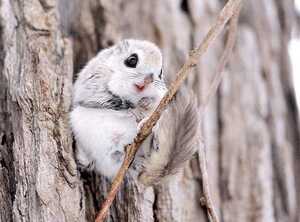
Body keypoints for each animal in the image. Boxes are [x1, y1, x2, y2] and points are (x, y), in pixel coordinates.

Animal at [70, 39, 200, 186]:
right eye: (132, 60)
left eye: (160, 73)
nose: (148, 80)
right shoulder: (93, 83)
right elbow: (109, 98)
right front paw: (135, 108)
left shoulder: (161, 98)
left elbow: (155, 104)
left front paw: (146, 104)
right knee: (89, 161)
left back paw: (145, 127)